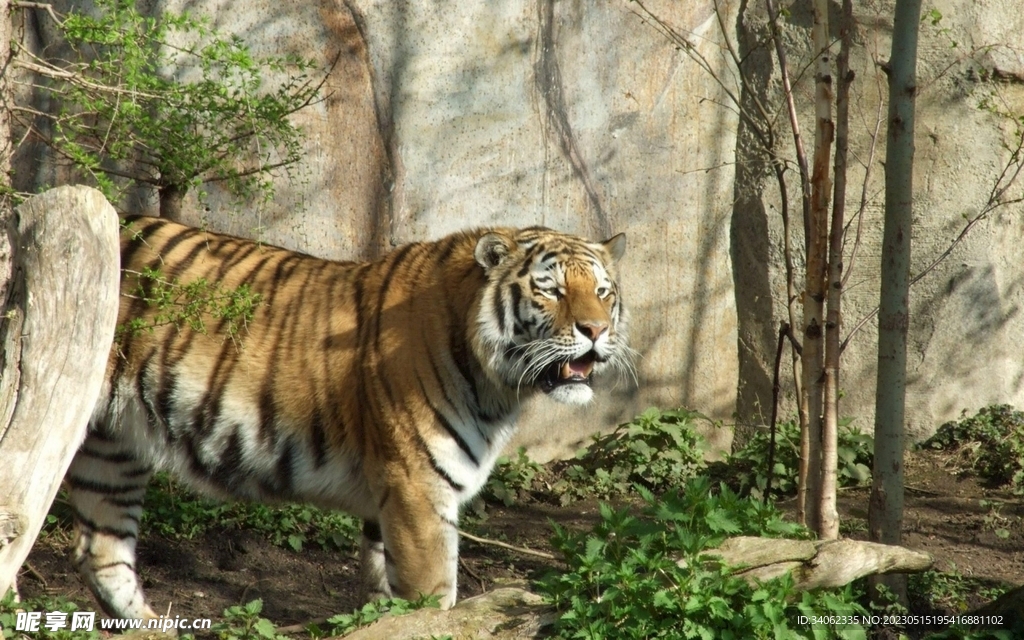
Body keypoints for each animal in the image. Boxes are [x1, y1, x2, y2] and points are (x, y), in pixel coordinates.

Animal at [65, 215, 631, 620]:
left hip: (112, 452)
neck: (498, 387)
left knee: (100, 551)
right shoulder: (417, 488)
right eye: (551, 290)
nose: (597, 330)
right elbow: (432, 602)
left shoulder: (392, 499)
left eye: (603, 292)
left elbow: (384, 597)